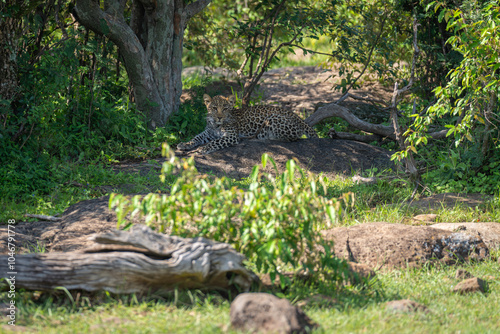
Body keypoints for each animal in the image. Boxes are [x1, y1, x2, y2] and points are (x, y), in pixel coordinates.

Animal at [177, 94, 316, 154]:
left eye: (225, 108)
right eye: (214, 108)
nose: (219, 117)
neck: (216, 125)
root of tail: (299, 117)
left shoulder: (231, 136)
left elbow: (215, 142)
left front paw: (204, 148)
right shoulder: (208, 133)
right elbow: (196, 137)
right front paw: (185, 144)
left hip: (273, 119)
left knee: (291, 138)